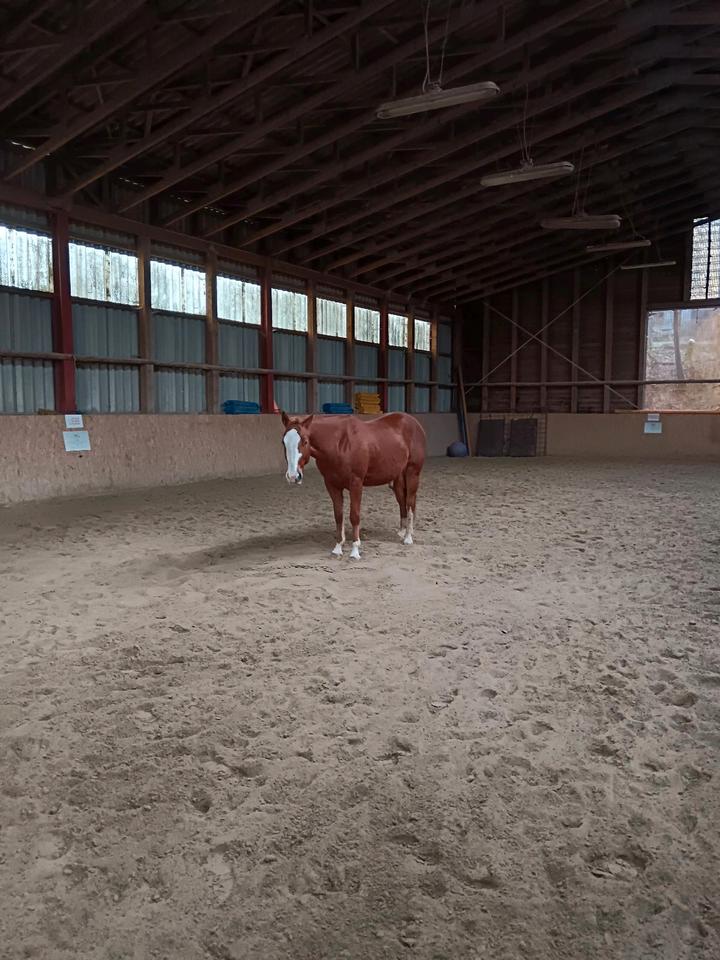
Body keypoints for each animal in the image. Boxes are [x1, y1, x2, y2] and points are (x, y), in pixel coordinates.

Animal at [281, 411, 426, 560]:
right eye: (283, 442)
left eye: (305, 441)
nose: (293, 476)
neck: (340, 444)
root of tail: (414, 423)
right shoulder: (332, 485)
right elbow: (338, 515)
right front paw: (338, 547)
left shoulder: (356, 483)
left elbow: (354, 515)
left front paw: (355, 550)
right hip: (397, 478)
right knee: (402, 502)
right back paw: (403, 532)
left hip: (412, 473)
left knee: (410, 502)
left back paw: (408, 538)